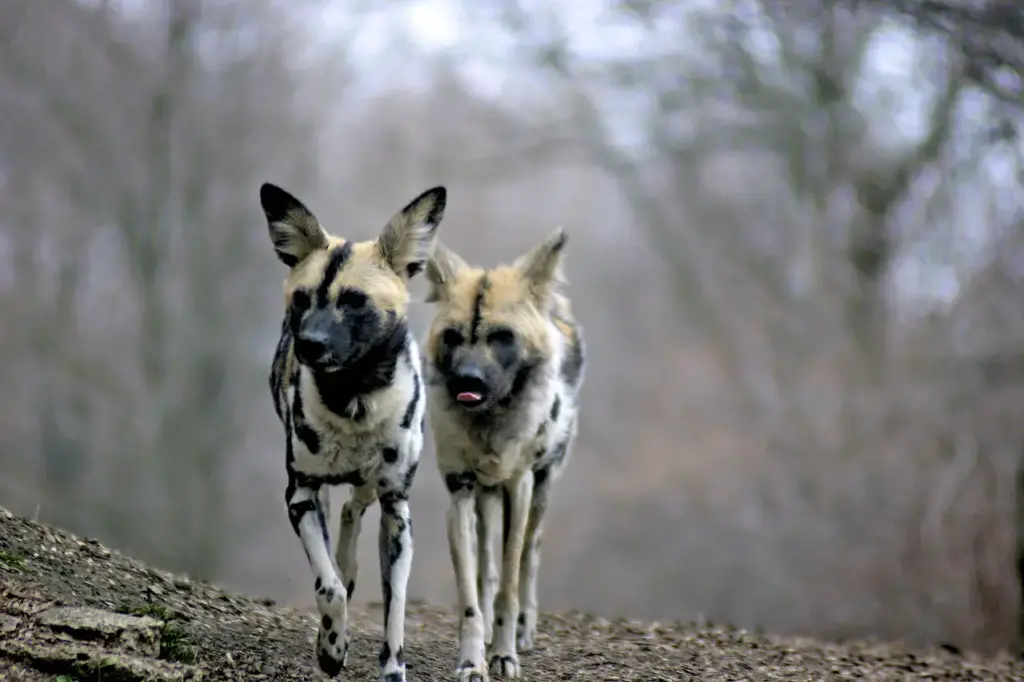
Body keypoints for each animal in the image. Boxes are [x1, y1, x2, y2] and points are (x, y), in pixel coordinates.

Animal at [258, 180, 446, 679]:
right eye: (302, 299)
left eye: (354, 301)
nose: (309, 344)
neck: (353, 399)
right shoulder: (300, 493)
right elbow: (329, 589)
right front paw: (331, 649)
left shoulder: (396, 510)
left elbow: (395, 605)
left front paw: (394, 668)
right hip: (314, 493)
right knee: (334, 544)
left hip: (371, 491)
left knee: (354, 509)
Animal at [421, 229, 585, 679]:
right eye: (453, 337)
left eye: (502, 337)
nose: (467, 381)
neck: (489, 422)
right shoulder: (460, 494)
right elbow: (471, 597)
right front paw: (472, 660)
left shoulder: (519, 488)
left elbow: (510, 586)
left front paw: (505, 654)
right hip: (483, 499)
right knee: (486, 570)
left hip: (539, 491)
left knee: (529, 555)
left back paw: (525, 629)